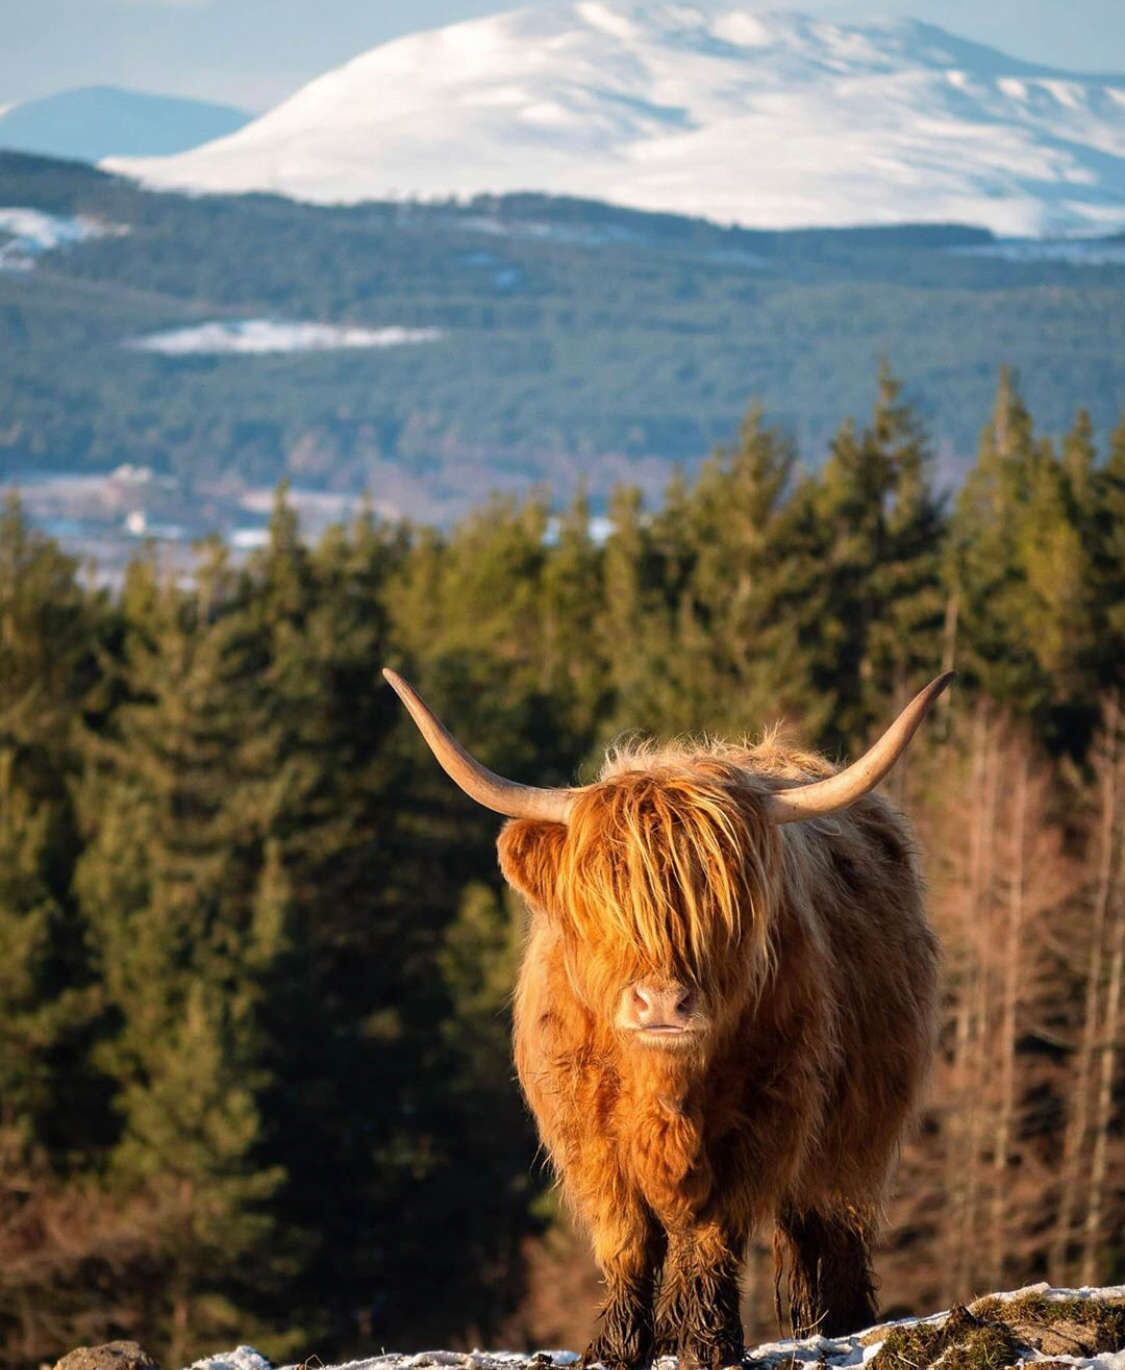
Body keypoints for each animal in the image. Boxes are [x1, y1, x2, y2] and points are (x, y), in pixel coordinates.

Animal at [384, 669, 948, 1370]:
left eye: (717, 902)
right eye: (604, 896)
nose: (661, 1004)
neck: (665, 1090)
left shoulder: (765, 1116)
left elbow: (711, 1232)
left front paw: (707, 1341)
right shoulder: (585, 1128)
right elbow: (627, 1236)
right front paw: (616, 1347)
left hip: (861, 1126)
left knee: (831, 1227)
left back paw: (839, 1326)